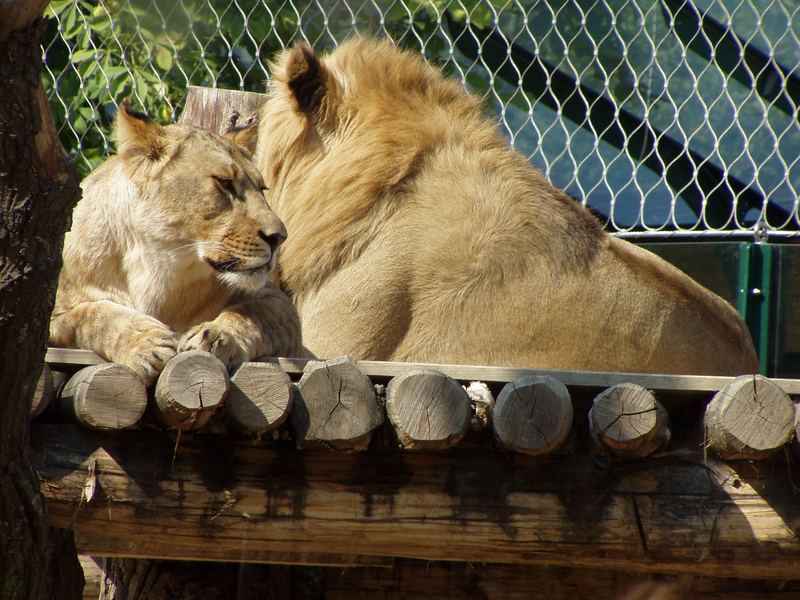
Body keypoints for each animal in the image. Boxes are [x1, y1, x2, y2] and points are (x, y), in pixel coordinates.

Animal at [48, 102, 304, 384]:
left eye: (262, 189)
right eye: (225, 183)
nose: (280, 237)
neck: (159, 261)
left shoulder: (281, 306)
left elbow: (253, 315)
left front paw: (215, 337)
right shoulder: (51, 314)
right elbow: (89, 315)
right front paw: (146, 343)